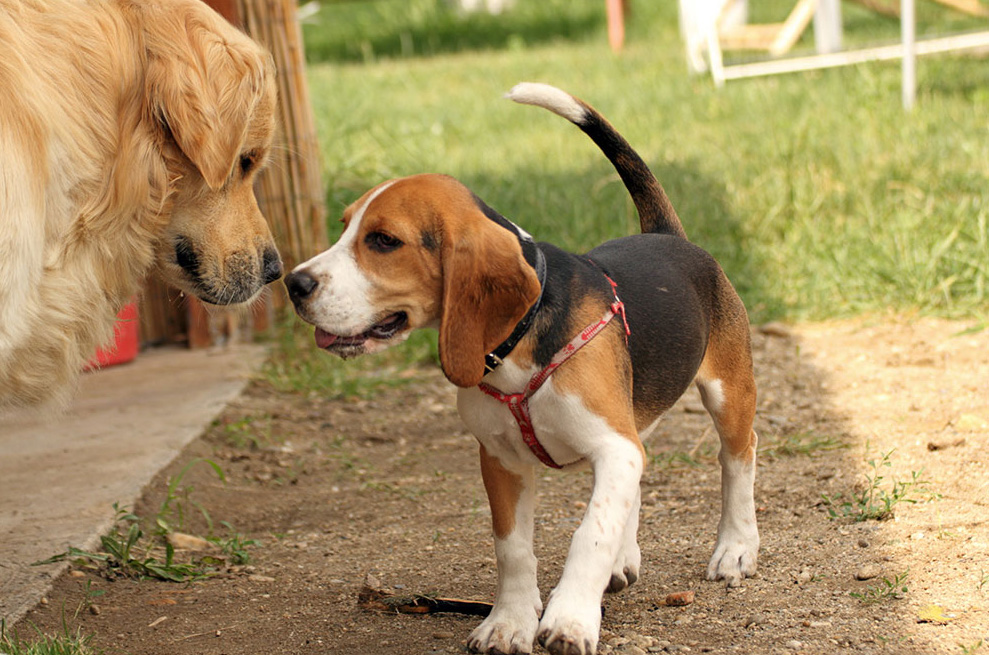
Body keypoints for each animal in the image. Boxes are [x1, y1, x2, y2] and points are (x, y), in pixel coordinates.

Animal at [286, 83, 756, 655]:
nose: (293, 284)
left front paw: (570, 618)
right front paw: (509, 622)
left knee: (737, 460)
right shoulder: (502, 458)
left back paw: (735, 548)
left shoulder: (612, 446)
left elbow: (590, 533)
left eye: (383, 241)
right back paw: (623, 561)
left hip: (727, 393)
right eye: (344, 228)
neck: (516, 345)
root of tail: (669, 235)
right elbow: (512, 548)